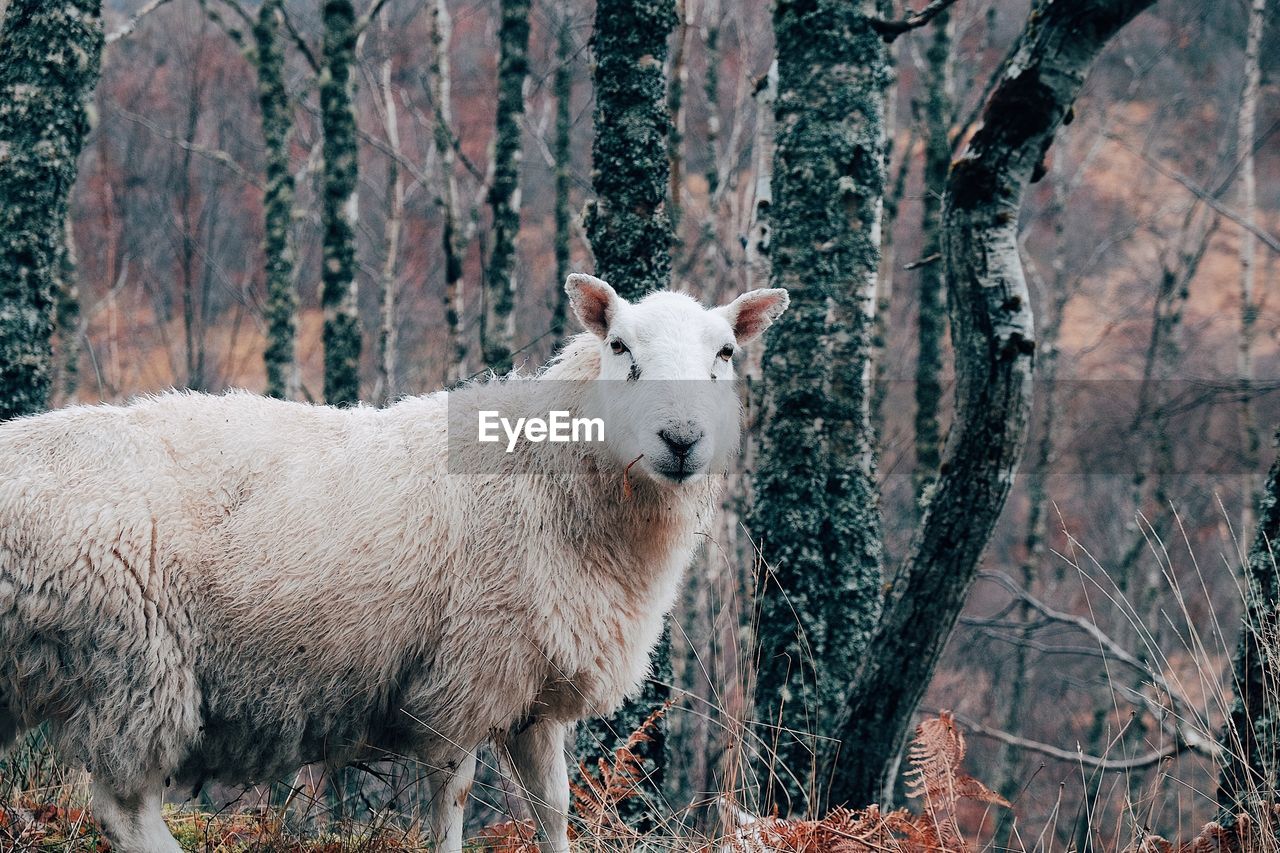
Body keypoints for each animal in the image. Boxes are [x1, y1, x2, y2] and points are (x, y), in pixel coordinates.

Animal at [0, 274, 788, 850]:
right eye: (621, 347)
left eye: (725, 354)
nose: (681, 438)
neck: (552, 476)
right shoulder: (468, 674)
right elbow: (454, 798)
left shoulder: (534, 687)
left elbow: (553, 806)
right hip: (136, 661)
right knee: (124, 805)